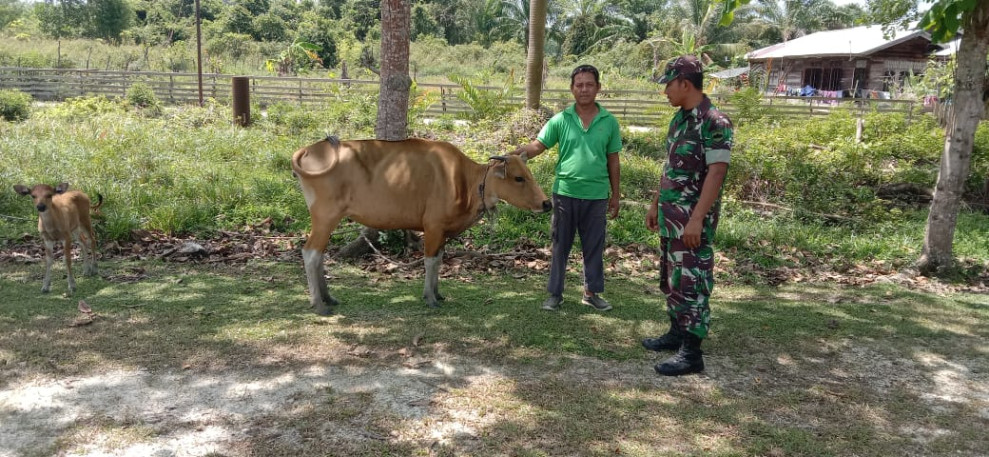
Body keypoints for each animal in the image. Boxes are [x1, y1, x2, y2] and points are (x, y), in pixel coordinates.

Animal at [294, 136, 552, 314]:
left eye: (529, 174)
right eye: (518, 178)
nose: (547, 203)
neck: (465, 182)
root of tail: (309, 149)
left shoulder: (443, 231)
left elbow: (438, 260)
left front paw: (438, 293)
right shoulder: (433, 226)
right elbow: (429, 261)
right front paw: (429, 297)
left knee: (319, 254)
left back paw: (328, 298)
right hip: (325, 217)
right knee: (310, 253)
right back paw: (319, 304)